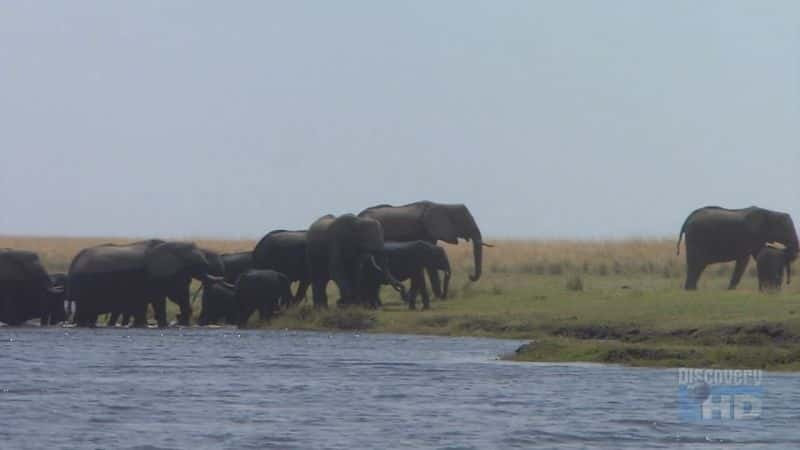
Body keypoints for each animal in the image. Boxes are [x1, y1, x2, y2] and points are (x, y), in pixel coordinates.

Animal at [69, 239, 212, 326]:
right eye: (196, 263)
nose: (179, 320)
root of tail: (76, 259)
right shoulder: (158, 275)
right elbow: (165, 297)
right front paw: (164, 325)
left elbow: (177, 295)